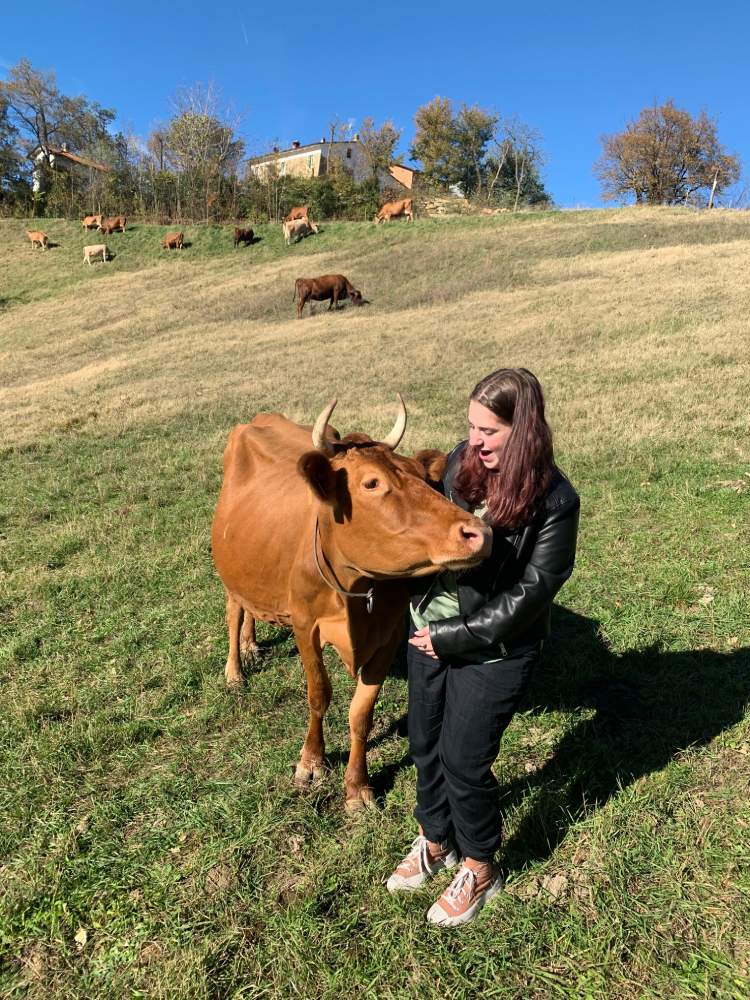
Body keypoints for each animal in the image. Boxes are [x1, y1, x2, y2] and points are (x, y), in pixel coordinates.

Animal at [212, 394, 494, 808]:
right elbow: (318, 695)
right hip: (231, 569)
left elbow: (361, 713)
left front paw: (357, 788)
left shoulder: (389, 635)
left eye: (423, 477)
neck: (356, 589)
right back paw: (235, 669)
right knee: (235, 610)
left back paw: (250, 643)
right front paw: (311, 762)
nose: (479, 532)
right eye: (372, 483)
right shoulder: (305, 625)